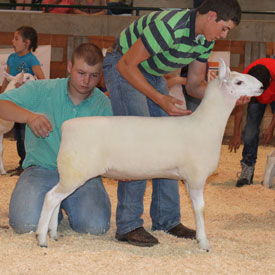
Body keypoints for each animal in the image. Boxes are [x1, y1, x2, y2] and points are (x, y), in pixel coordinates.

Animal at [35, 58, 264, 252]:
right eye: (239, 81)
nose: (262, 86)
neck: (206, 124)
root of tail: (66, 127)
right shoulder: (197, 176)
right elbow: (200, 209)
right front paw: (204, 243)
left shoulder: (188, 178)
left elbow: (195, 208)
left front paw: (199, 238)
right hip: (75, 171)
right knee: (50, 197)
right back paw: (42, 238)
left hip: (70, 173)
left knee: (57, 199)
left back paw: (53, 234)